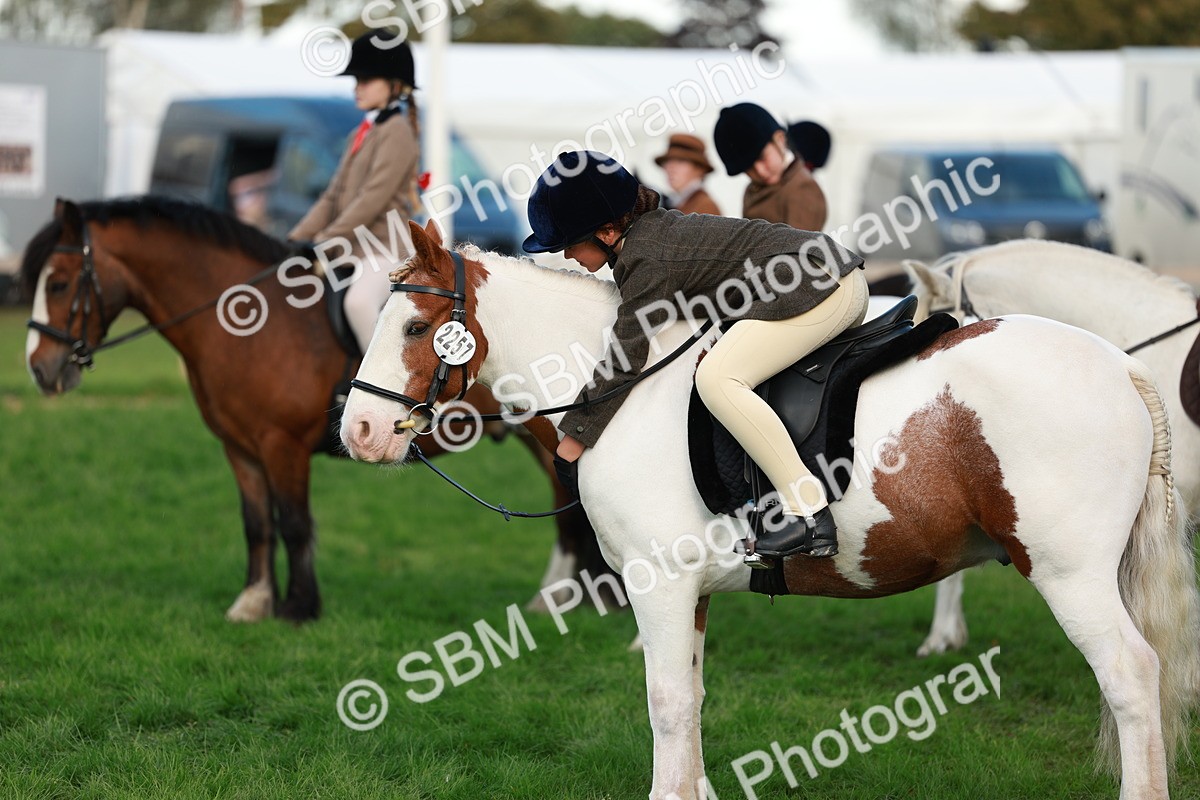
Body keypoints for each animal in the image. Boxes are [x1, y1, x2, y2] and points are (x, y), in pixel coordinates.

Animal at [21, 196, 613, 623]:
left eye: (59, 282)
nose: (39, 369)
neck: (247, 323)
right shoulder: (239, 447)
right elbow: (256, 523)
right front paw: (253, 602)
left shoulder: (281, 445)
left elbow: (293, 522)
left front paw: (299, 607)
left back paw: (567, 597)